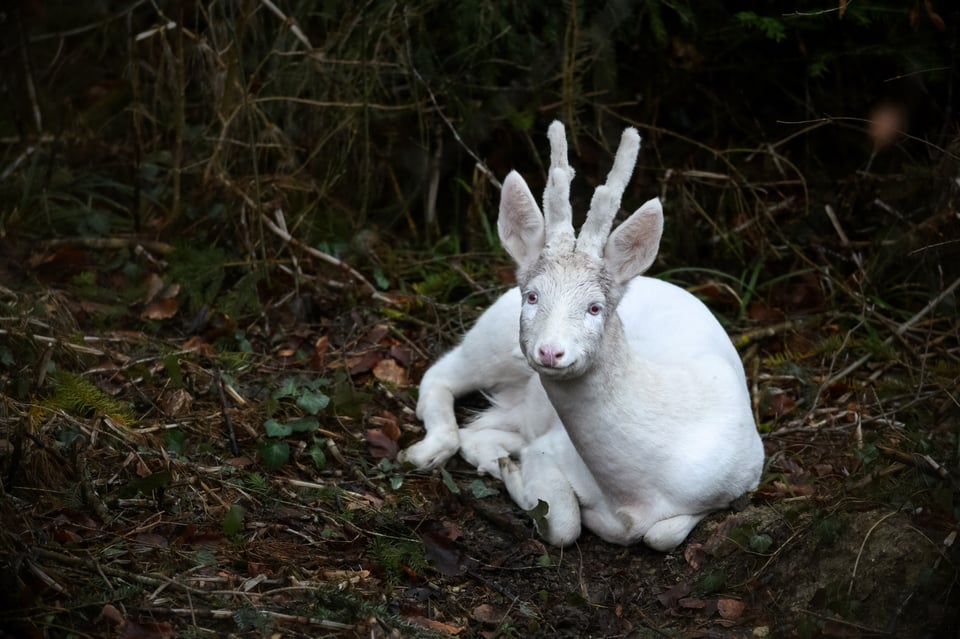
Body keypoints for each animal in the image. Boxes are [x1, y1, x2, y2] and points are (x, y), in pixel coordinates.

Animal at [400, 121, 764, 552]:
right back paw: (428, 452)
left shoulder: (747, 475)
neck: (638, 488)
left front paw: (508, 467)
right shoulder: (552, 448)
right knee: (440, 375)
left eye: (595, 307)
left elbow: (662, 533)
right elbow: (564, 524)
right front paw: (519, 480)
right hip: (492, 337)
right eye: (533, 295)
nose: (550, 351)